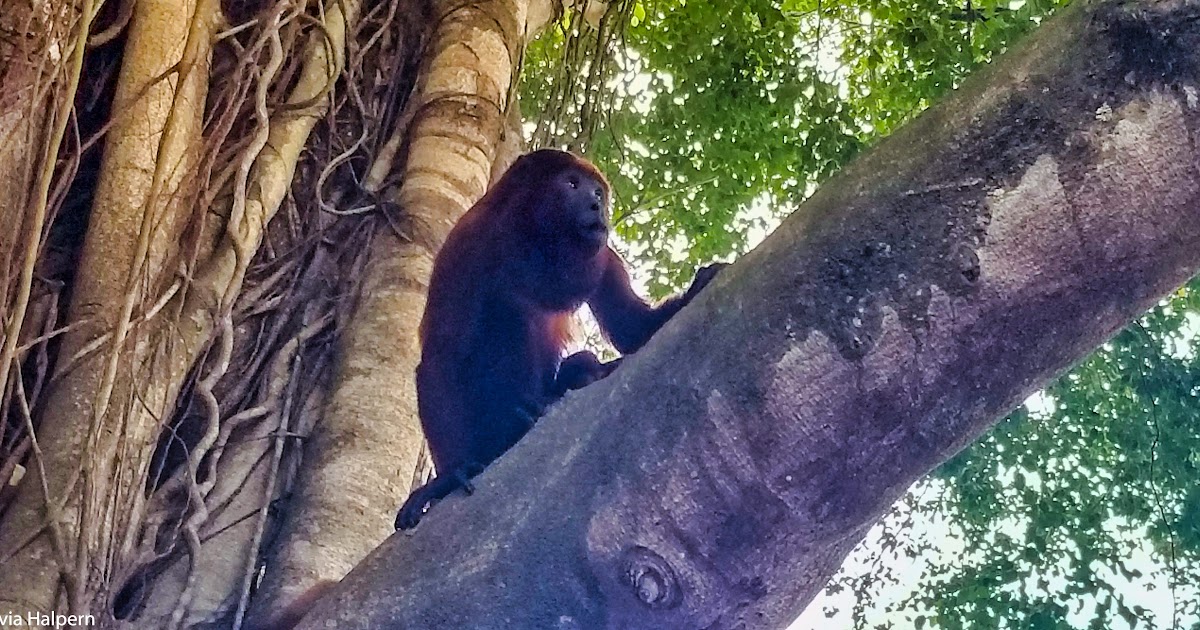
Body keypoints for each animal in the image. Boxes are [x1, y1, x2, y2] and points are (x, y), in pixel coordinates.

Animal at [398, 150, 724, 528]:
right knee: (510, 307)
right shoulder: (468, 246)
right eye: (572, 184)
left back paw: (576, 377)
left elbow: (632, 328)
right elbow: (441, 358)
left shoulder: (603, 255)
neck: (536, 241)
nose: (597, 206)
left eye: (598, 192)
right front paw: (448, 478)